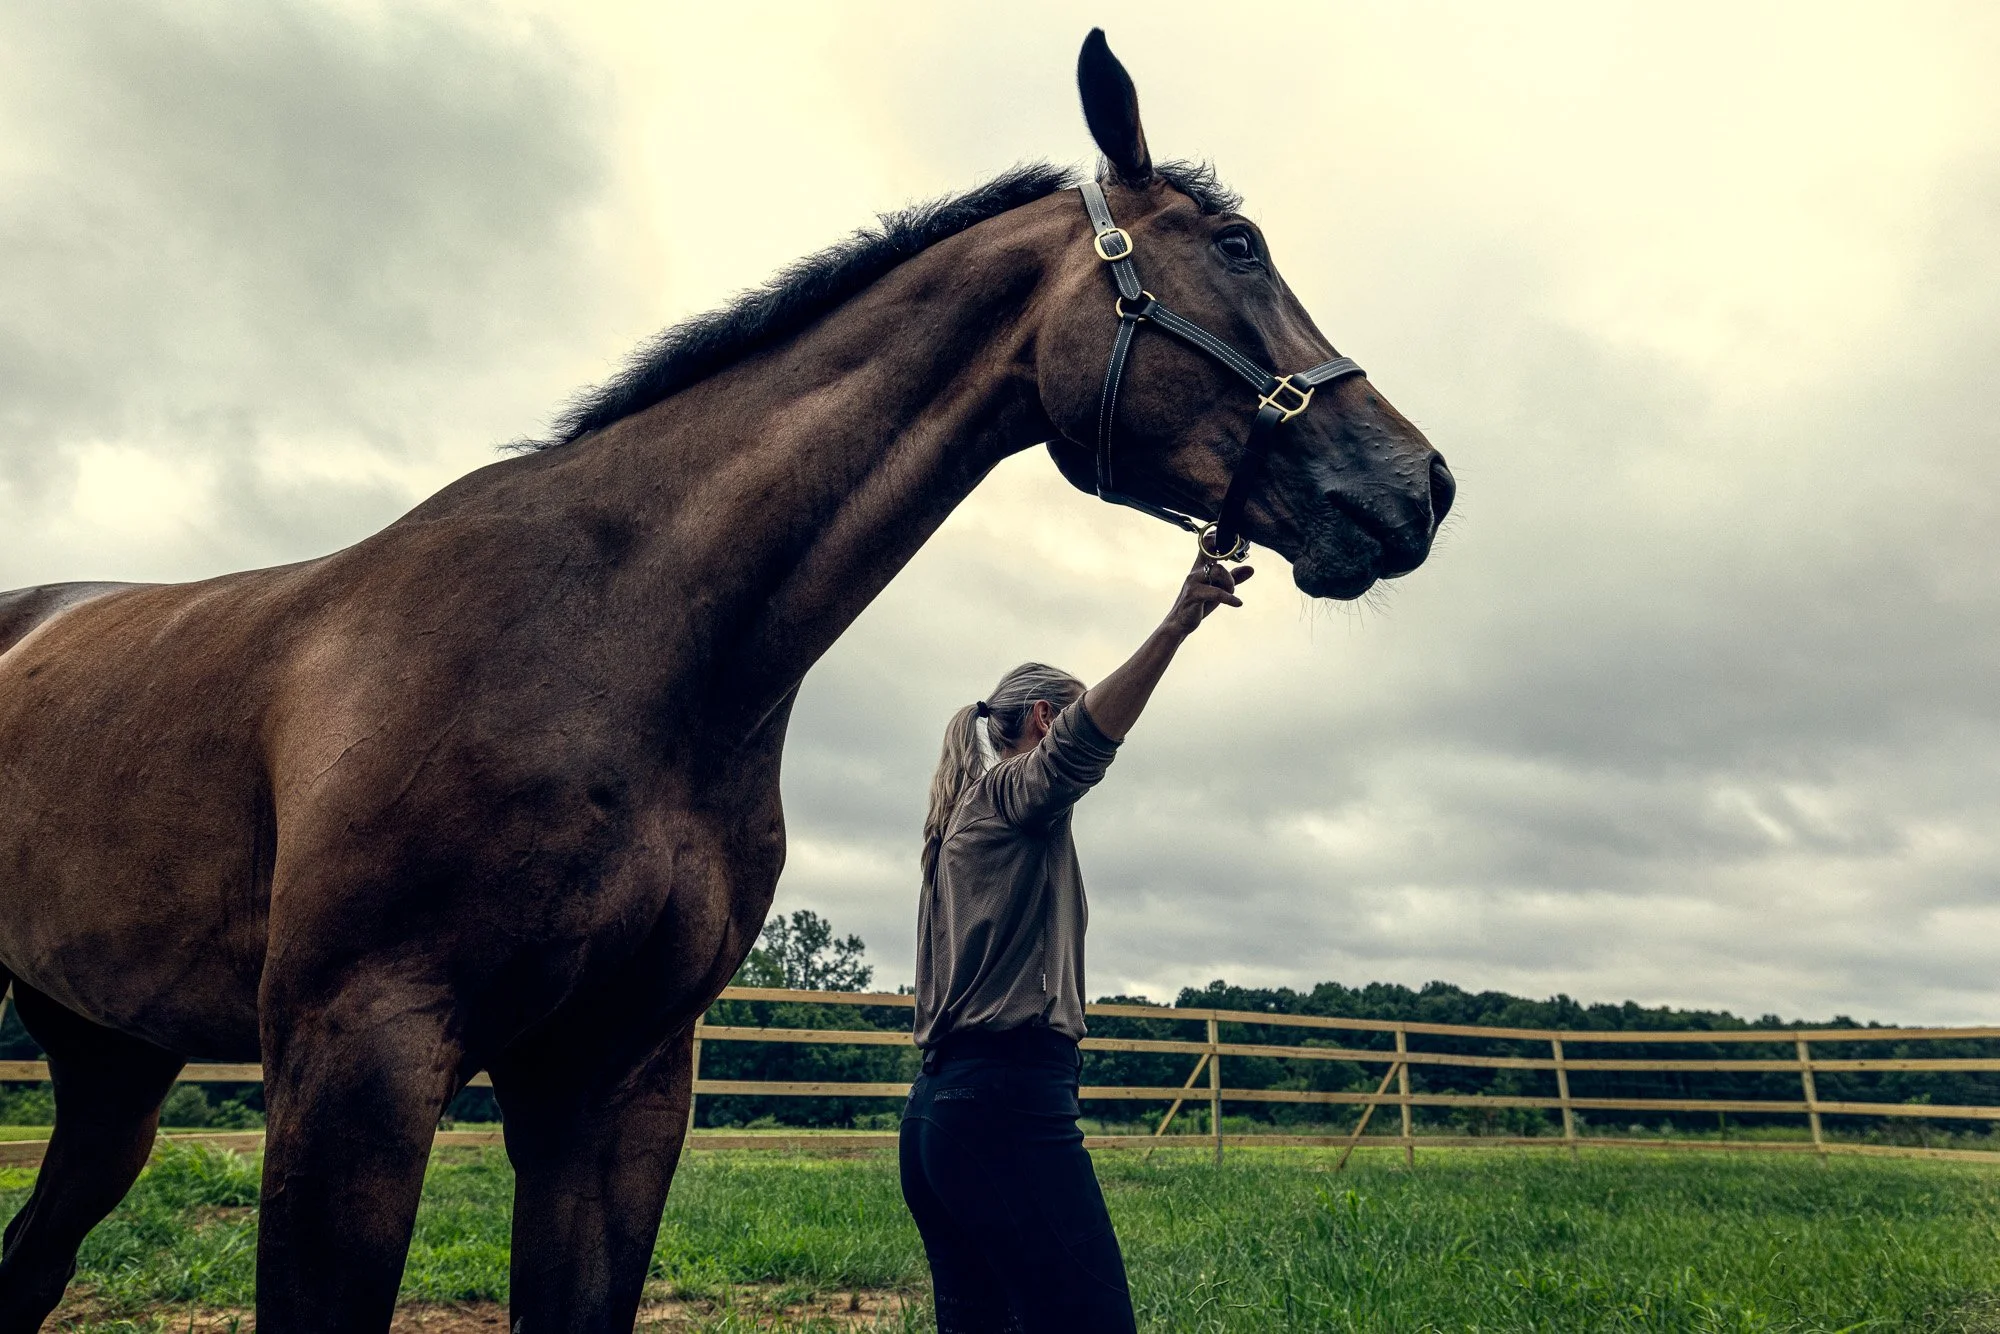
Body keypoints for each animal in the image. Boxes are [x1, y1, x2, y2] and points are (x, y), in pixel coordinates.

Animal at [0, 31, 1450, 1333]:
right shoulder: (353, 1061)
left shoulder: (619, 1078)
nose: (1420, 484)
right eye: (1240, 246)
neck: (610, 640)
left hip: (110, 1060)